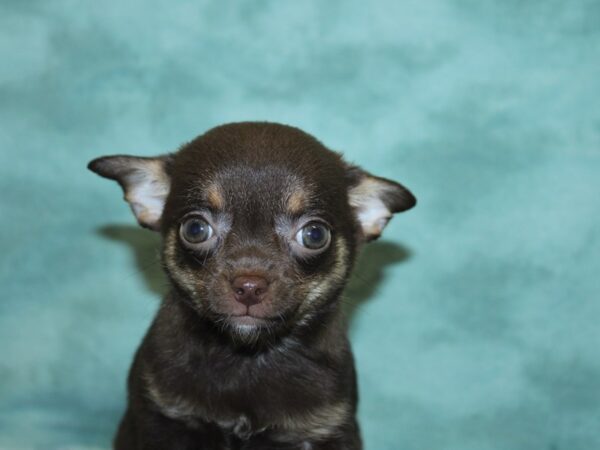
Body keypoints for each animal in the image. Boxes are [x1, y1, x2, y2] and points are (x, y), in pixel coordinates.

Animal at [89, 121, 414, 448]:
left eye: (314, 235)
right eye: (195, 229)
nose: (248, 286)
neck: (248, 357)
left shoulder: (327, 429)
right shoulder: (164, 419)